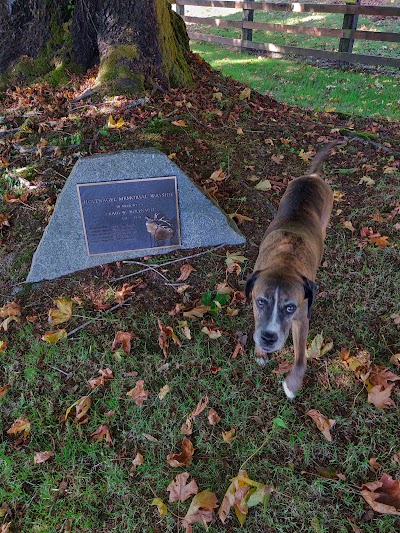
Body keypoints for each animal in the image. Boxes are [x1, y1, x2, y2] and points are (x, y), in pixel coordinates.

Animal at [245, 139, 342, 396]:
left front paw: (293, 383)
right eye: (261, 302)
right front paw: (260, 351)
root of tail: (313, 176)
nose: (268, 338)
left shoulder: (301, 319)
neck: (285, 260)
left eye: (289, 307)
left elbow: (300, 358)